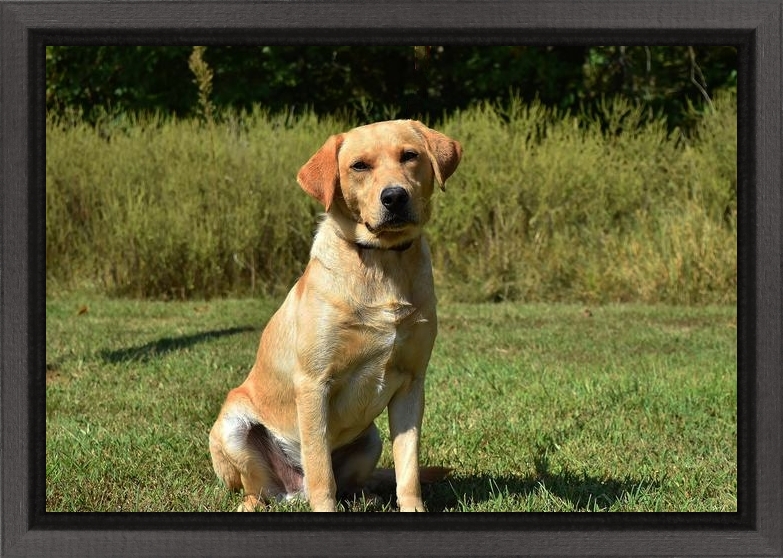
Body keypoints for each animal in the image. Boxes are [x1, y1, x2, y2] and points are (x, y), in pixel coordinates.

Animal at [211, 120, 462, 516]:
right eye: (359, 166)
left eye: (410, 155)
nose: (395, 197)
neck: (381, 261)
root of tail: (292, 491)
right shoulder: (314, 383)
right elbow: (320, 469)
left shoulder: (412, 384)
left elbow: (407, 468)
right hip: (233, 429)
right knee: (260, 489)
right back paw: (253, 505)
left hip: (370, 437)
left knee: (354, 481)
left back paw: (368, 495)